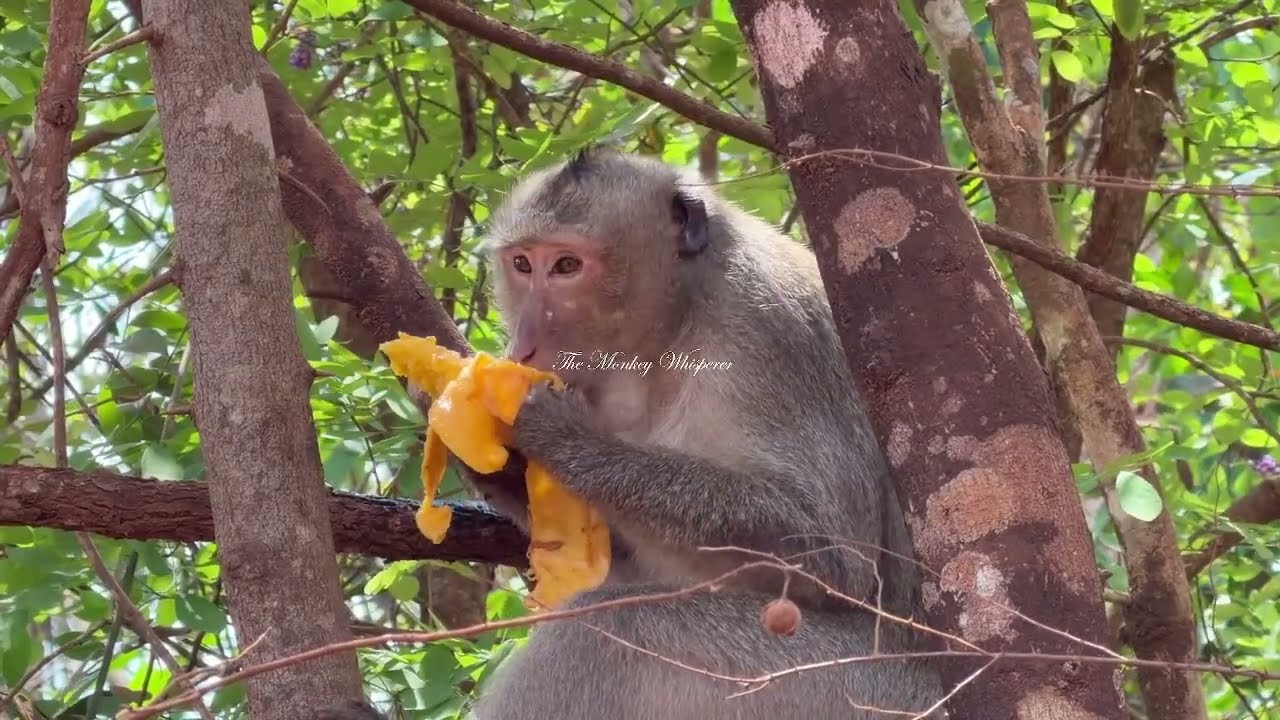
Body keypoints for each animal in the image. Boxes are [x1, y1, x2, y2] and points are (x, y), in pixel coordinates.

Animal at [444, 148, 946, 719]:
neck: (674, 327)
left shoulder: (767, 330)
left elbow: (839, 559)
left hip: (849, 687)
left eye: (567, 266)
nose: (524, 346)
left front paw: (557, 435)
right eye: (523, 264)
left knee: (604, 630)